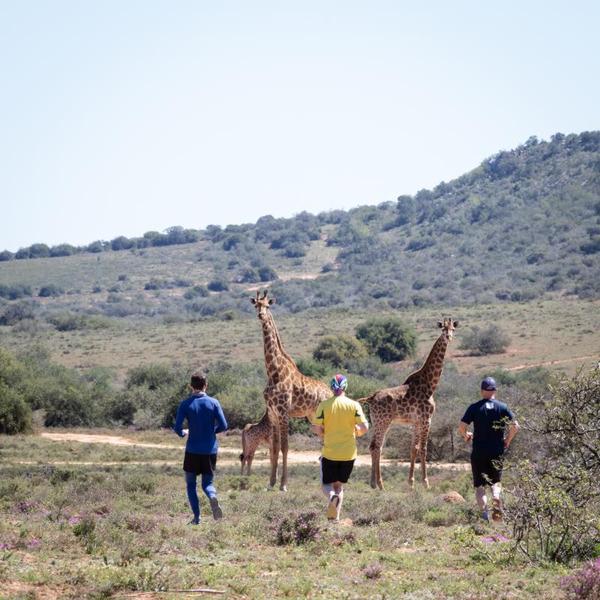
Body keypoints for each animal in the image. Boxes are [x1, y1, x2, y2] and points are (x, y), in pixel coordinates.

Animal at [251, 290, 330, 492]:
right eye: (256, 305)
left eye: (267, 305)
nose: (260, 315)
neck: (273, 372)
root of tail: (329, 392)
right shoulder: (272, 413)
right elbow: (274, 447)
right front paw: (271, 483)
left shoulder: (283, 411)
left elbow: (285, 447)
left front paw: (283, 485)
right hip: (312, 418)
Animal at [358, 316, 458, 490]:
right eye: (443, 329)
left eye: (453, 328)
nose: (449, 337)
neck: (430, 384)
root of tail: (371, 397)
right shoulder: (426, 419)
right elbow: (424, 449)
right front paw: (425, 483)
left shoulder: (416, 422)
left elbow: (414, 449)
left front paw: (411, 483)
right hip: (384, 421)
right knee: (377, 446)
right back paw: (380, 484)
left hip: (376, 422)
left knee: (373, 446)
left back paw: (373, 484)